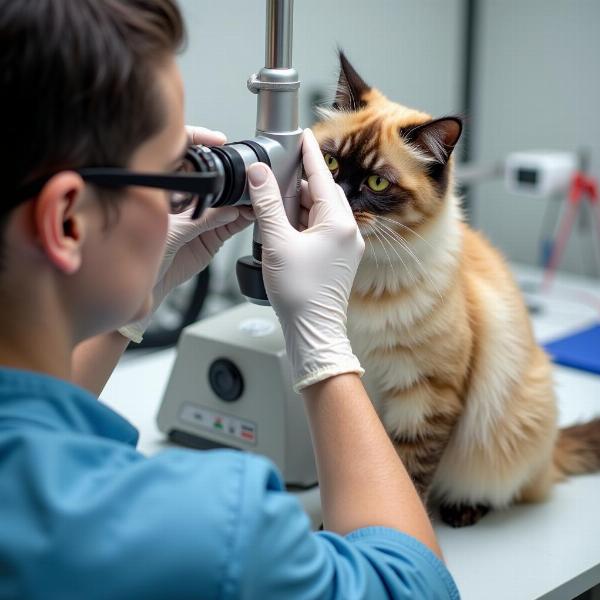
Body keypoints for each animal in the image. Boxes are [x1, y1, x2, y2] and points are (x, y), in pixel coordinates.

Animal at [314, 54, 600, 528]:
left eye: (377, 184)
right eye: (331, 164)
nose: (337, 194)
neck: (359, 279)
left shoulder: (425, 394)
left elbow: (407, 471)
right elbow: (352, 469)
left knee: (507, 488)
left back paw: (463, 509)